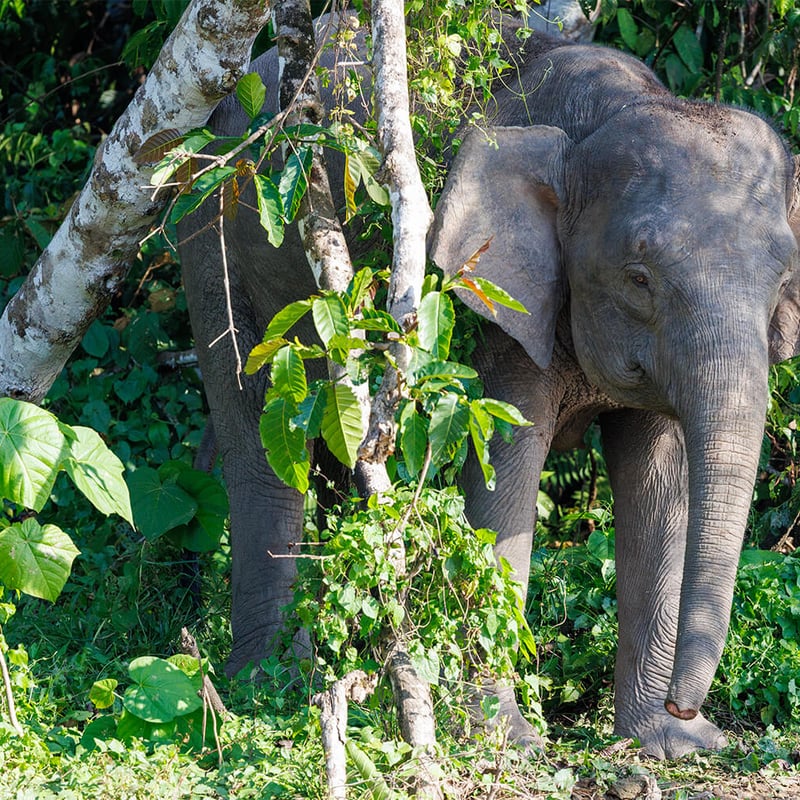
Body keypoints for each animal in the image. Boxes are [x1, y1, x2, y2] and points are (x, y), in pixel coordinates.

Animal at [178, 15, 800, 759]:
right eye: (639, 277)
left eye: (784, 279)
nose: (688, 707)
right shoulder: (498, 296)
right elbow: (505, 467)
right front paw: (508, 738)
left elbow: (661, 485)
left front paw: (670, 745)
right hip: (212, 234)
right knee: (261, 448)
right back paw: (269, 687)